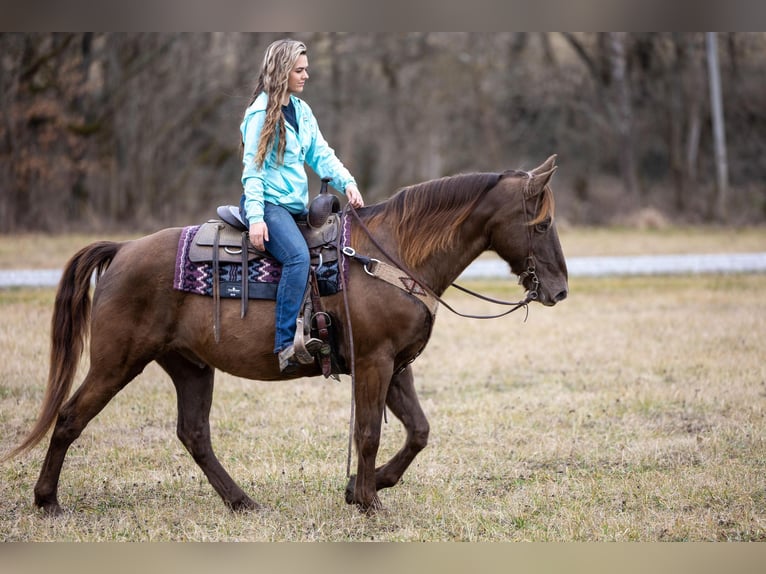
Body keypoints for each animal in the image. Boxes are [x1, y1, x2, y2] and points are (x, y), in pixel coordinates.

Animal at [1, 154, 568, 516]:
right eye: (541, 225)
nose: (559, 289)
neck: (389, 254)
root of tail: (121, 250)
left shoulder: (396, 366)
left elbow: (418, 431)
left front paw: (363, 487)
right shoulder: (374, 362)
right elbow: (369, 432)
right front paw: (369, 501)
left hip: (189, 365)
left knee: (194, 434)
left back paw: (242, 502)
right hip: (116, 362)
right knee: (70, 418)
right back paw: (48, 501)